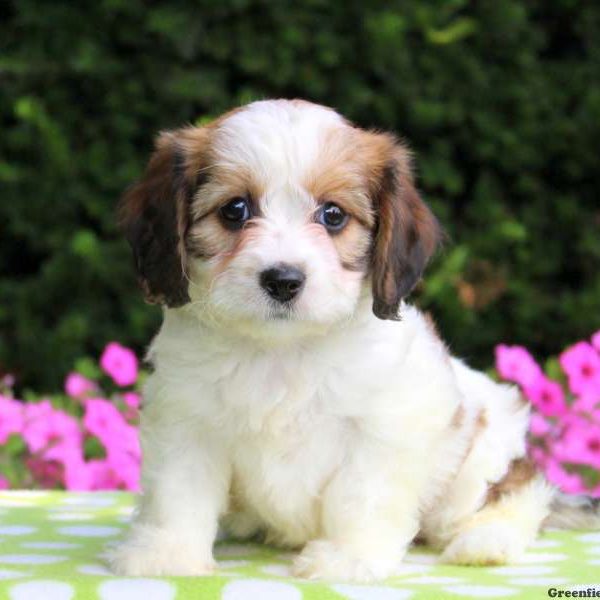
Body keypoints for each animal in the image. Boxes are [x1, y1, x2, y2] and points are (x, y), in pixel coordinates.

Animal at [110, 98, 596, 580]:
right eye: (234, 210)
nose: (283, 280)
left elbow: (360, 495)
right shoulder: (186, 420)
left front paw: (348, 557)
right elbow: (178, 492)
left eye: (333, 215)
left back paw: (486, 541)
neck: (282, 351)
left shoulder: (382, 428)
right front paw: (168, 552)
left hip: (477, 461)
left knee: (521, 496)